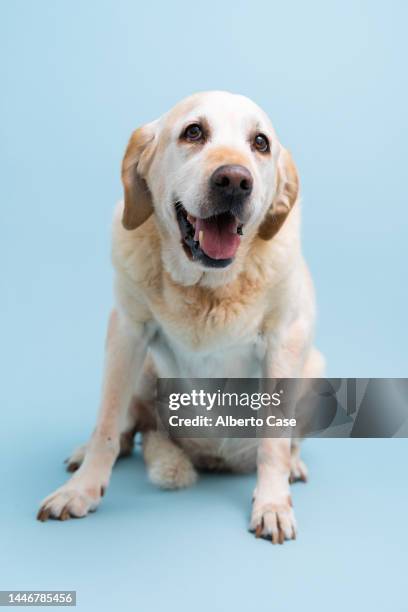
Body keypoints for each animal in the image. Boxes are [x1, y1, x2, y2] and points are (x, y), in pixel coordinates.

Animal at [38, 92, 326, 544]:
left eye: (260, 143)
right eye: (194, 132)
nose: (235, 181)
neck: (206, 287)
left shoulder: (285, 339)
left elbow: (274, 442)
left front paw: (273, 503)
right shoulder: (127, 331)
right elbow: (107, 422)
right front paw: (81, 489)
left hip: (316, 375)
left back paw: (293, 466)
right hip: (142, 370)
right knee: (130, 425)